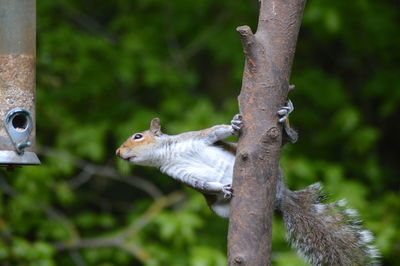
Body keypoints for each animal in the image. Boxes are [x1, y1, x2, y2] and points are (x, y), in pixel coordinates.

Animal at [115, 102, 378, 266]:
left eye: (137, 136)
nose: (118, 152)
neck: (168, 155)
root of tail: (282, 196)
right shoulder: (181, 175)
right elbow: (204, 185)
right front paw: (221, 188)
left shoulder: (196, 137)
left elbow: (217, 131)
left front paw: (233, 125)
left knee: (288, 139)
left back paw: (286, 121)